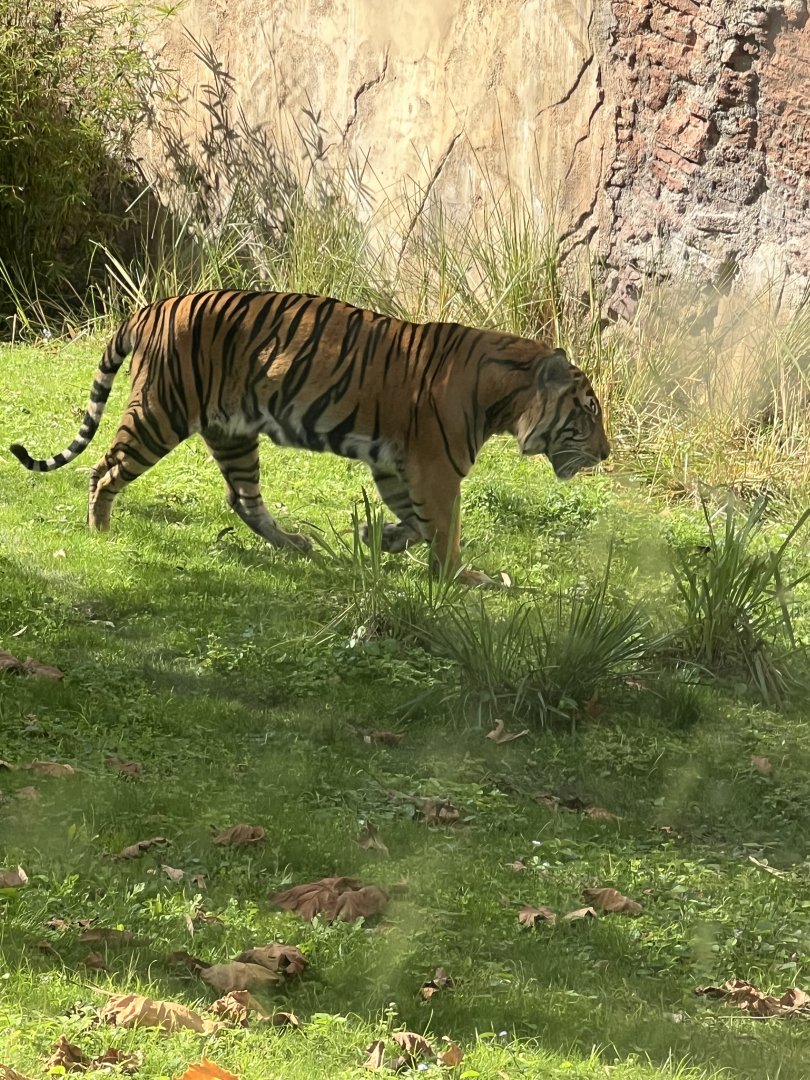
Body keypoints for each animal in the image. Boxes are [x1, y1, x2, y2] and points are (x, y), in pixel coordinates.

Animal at [9, 290, 610, 584]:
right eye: (588, 411)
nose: (605, 454)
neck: (505, 396)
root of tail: (154, 306)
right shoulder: (435, 468)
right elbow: (443, 529)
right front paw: (462, 578)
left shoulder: (397, 465)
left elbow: (418, 523)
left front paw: (379, 538)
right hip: (161, 412)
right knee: (105, 468)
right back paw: (100, 531)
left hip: (231, 431)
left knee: (243, 499)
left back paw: (297, 545)